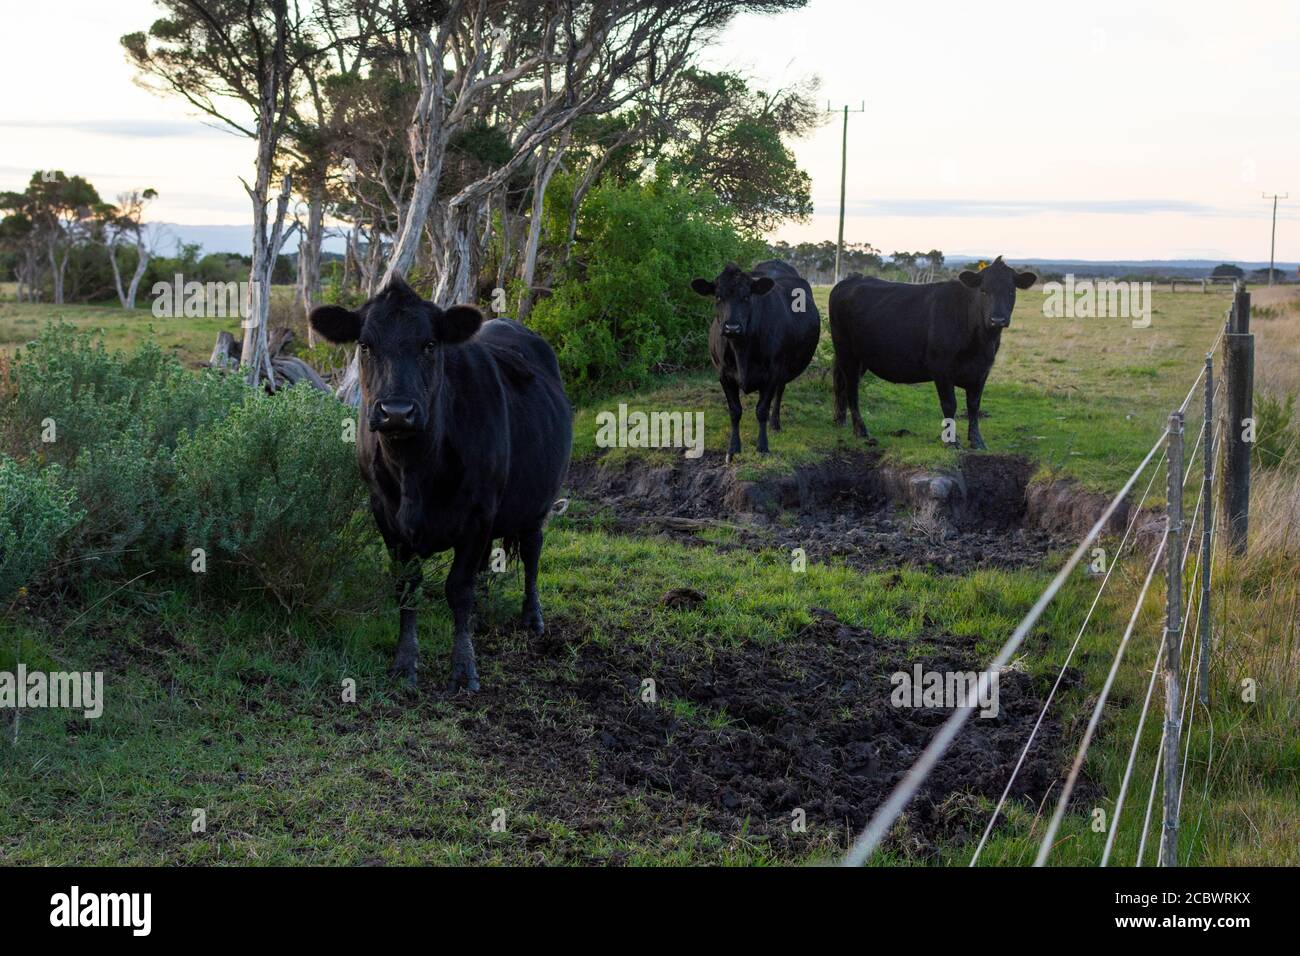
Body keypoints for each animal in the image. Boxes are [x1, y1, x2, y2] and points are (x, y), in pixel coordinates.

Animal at [309, 277, 573, 692]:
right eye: (365, 344)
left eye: (430, 344)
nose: (396, 412)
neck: (415, 470)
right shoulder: (385, 515)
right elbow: (407, 587)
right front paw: (405, 662)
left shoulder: (478, 514)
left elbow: (458, 589)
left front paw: (463, 667)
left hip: (537, 503)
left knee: (532, 553)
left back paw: (532, 617)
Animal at [689, 260, 820, 459]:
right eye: (718, 297)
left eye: (746, 297)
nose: (732, 327)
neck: (741, 350)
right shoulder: (724, 375)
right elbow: (735, 411)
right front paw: (733, 448)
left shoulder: (772, 374)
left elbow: (762, 410)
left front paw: (762, 446)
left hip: (783, 368)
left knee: (779, 392)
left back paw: (775, 423)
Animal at [829, 256, 1036, 449]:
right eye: (983, 290)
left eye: (1011, 291)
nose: (997, 319)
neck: (981, 342)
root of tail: (851, 279)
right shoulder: (941, 368)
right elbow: (950, 404)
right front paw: (951, 442)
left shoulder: (982, 370)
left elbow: (974, 405)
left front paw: (977, 441)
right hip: (846, 352)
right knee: (852, 388)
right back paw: (860, 430)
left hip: (860, 357)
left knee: (841, 384)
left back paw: (840, 421)